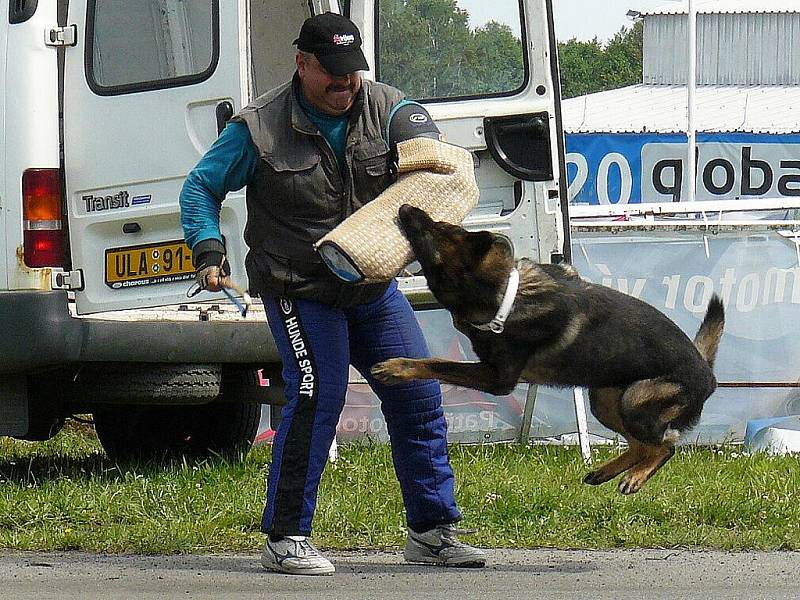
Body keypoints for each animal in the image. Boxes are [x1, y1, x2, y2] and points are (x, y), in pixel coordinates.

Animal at [370, 204, 724, 494]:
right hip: (605, 401)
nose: (404, 206)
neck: (505, 295)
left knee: (664, 447)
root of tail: (707, 373)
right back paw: (605, 473)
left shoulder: (496, 378)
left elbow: (436, 362)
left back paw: (634, 477)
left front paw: (396, 367)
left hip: (635, 400)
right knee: (644, 446)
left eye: (438, 230)